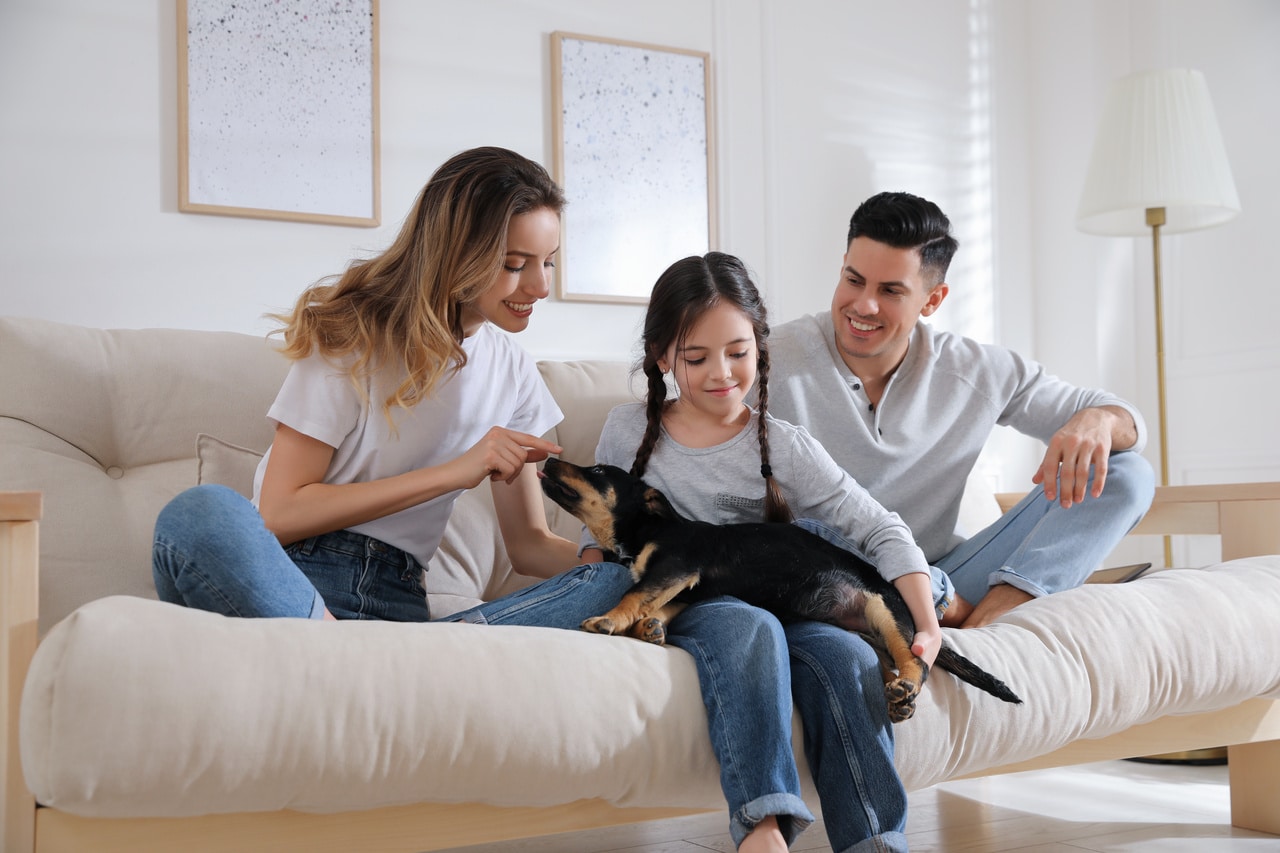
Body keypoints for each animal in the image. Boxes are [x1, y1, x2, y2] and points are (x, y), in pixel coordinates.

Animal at [540, 455, 1018, 722]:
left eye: (598, 471)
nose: (545, 461)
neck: (646, 528)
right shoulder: (687, 585)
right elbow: (658, 606)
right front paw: (650, 628)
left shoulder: (676, 566)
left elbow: (634, 594)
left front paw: (608, 621)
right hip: (866, 634)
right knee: (887, 665)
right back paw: (899, 701)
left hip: (886, 612)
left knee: (917, 660)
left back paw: (904, 690)